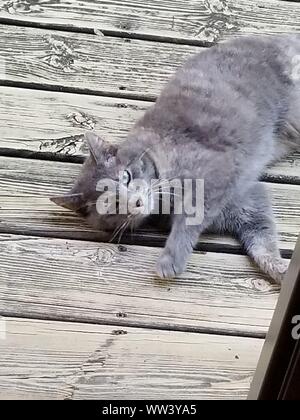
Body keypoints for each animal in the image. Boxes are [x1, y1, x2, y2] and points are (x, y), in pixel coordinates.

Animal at [51, 36, 300, 284]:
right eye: (111, 204)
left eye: (126, 176)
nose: (136, 202)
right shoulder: (246, 202)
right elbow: (261, 241)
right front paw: (280, 271)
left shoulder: (216, 173)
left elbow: (191, 215)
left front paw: (169, 260)